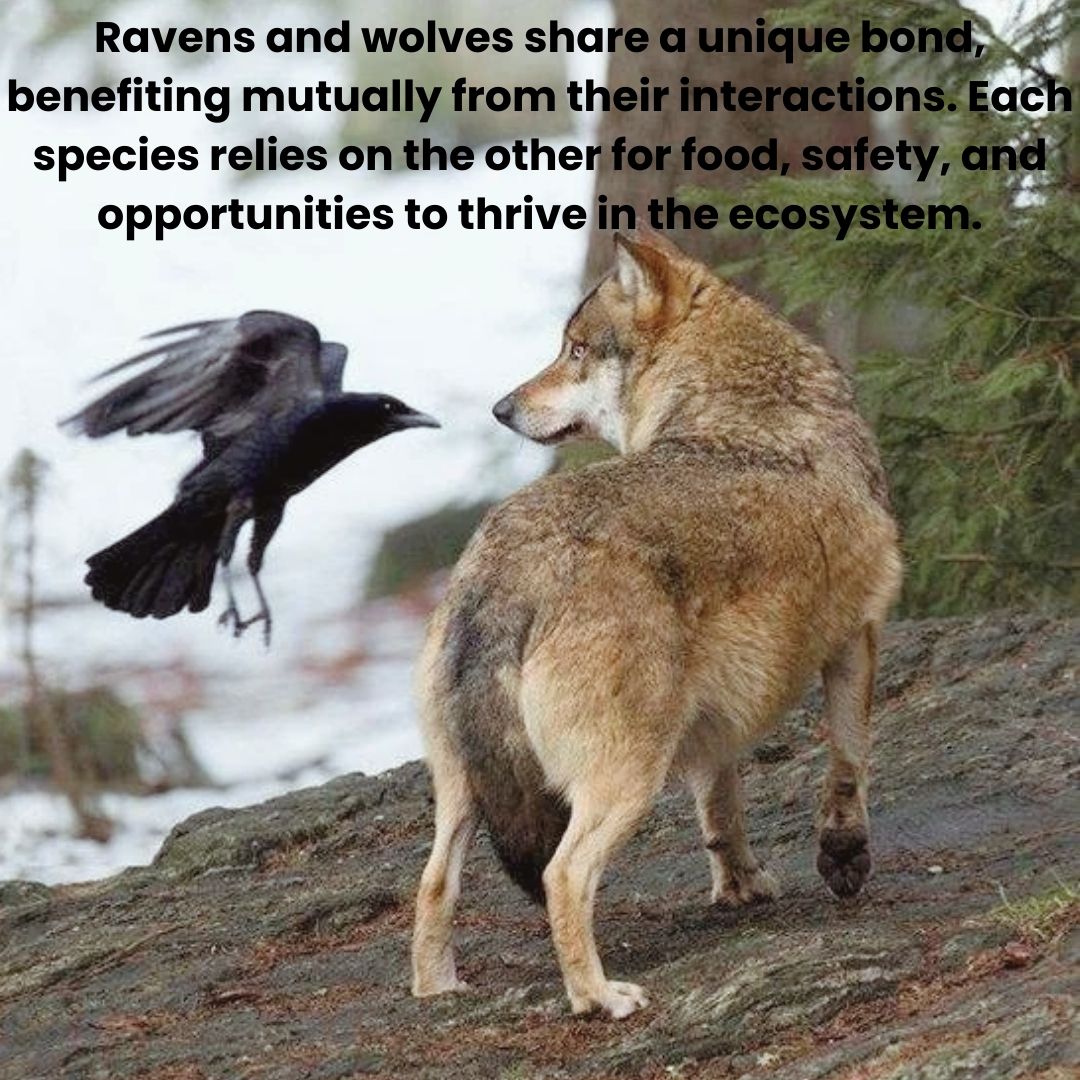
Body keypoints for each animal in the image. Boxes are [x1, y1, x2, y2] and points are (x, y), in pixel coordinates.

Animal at [411, 230, 901, 1018]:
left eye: (576, 349)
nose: (500, 408)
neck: (739, 398)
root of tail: (507, 571)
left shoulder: (715, 710)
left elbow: (720, 805)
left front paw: (740, 888)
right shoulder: (857, 634)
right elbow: (849, 764)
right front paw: (843, 859)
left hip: (464, 792)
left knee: (432, 887)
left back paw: (439, 991)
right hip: (624, 780)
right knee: (562, 876)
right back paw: (598, 998)